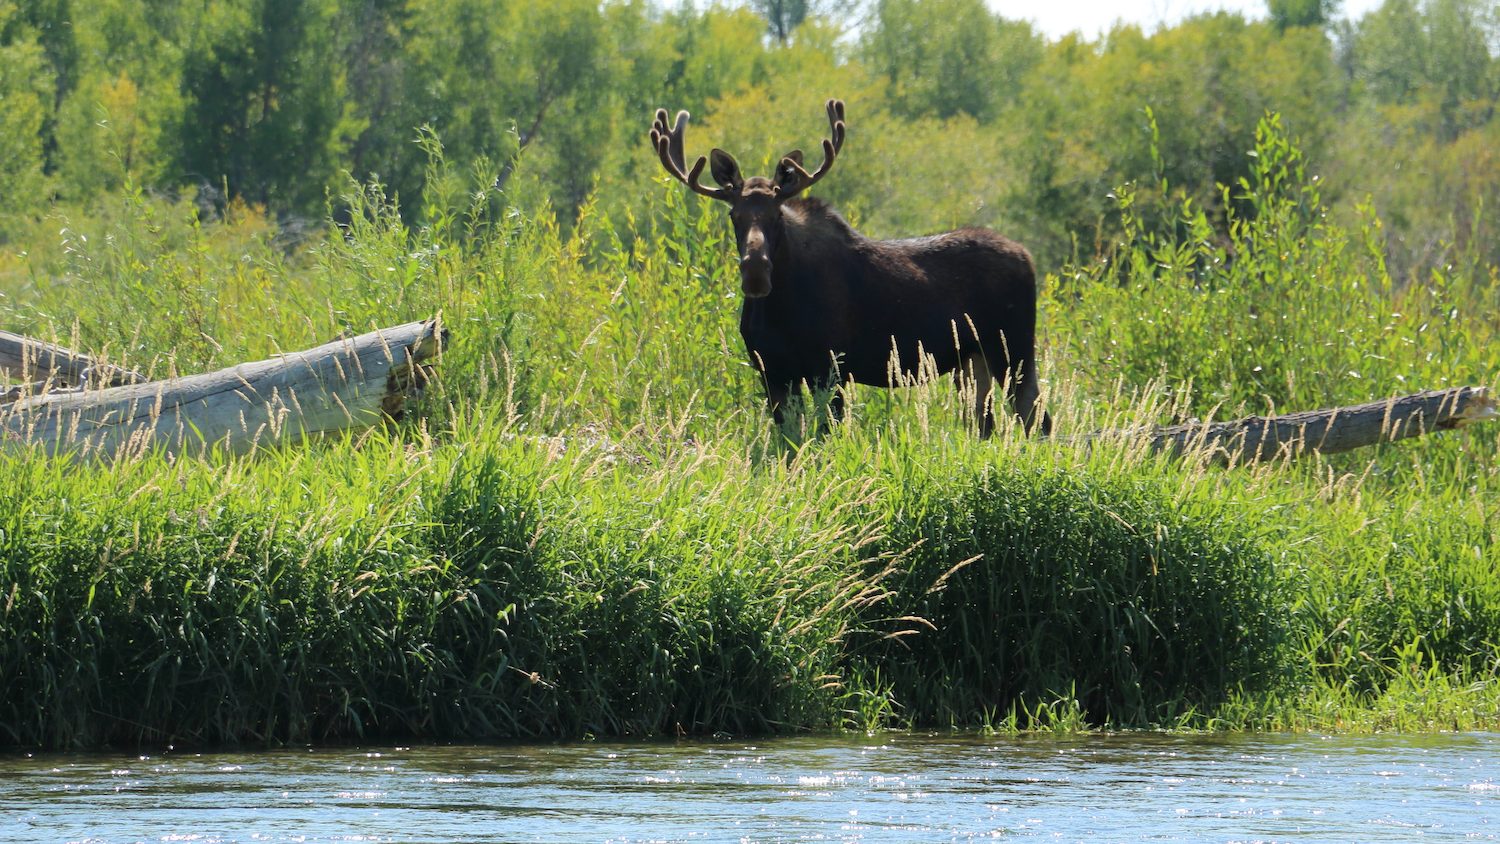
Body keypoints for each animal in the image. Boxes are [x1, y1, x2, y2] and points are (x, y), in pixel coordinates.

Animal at [648, 99, 1056, 440]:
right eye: (734, 215)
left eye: (776, 214)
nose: (755, 272)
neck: (779, 310)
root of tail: (1027, 255)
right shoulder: (772, 372)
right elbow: (790, 443)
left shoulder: (830, 367)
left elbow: (827, 435)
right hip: (973, 359)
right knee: (986, 423)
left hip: (1013, 347)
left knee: (1037, 418)